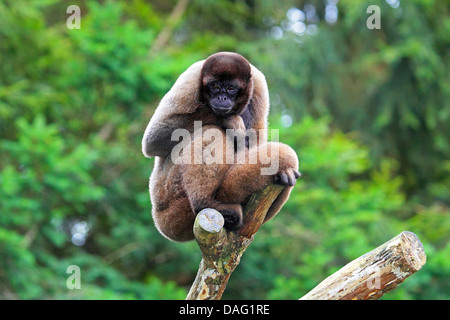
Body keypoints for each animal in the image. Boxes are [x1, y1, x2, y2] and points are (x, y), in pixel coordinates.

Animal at [142, 52, 300, 241]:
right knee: (212, 131)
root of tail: (157, 215)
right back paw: (204, 202)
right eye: (215, 86)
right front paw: (229, 119)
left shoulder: (259, 84)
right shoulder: (192, 77)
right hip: (167, 191)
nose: (221, 98)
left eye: (231, 88)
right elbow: (153, 140)